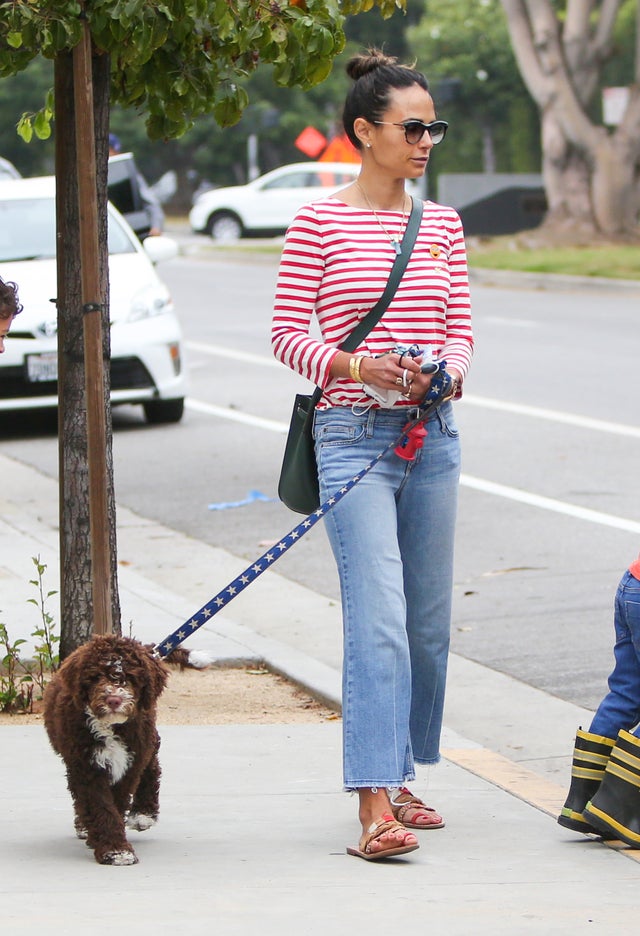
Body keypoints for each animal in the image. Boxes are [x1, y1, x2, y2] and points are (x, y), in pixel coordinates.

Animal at [44, 632, 172, 868]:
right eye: (95, 676)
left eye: (130, 677)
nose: (114, 700)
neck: (111, 727)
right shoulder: (85, 766)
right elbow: (100, 805)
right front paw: (115, 850)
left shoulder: (131, 759)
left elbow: (117, 801)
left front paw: (114, 847)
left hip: (146, 738)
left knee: (152, 764)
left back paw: (143, 813)